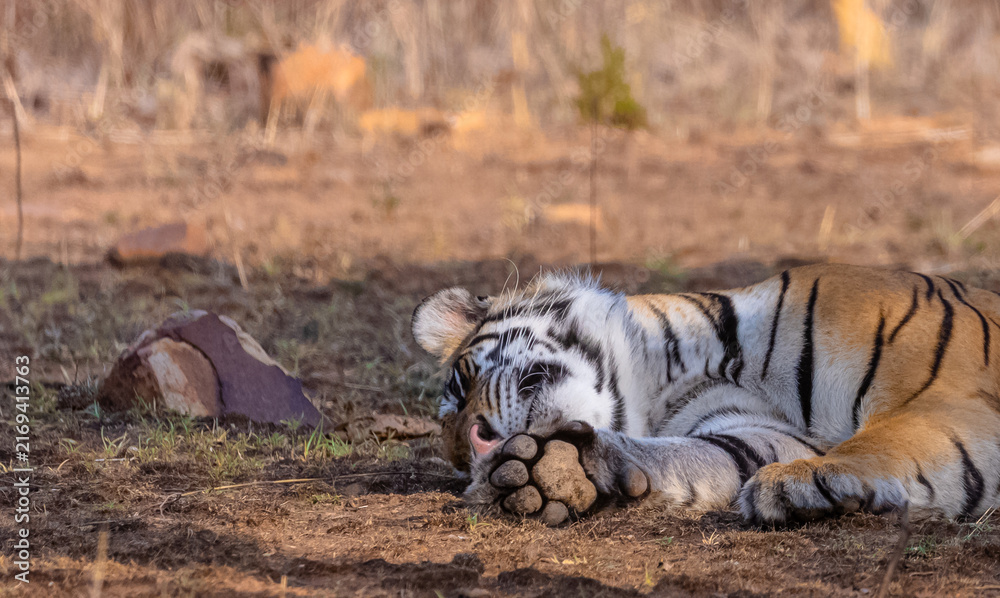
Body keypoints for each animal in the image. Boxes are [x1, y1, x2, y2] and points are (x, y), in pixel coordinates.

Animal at [411, 264, 1000, 525]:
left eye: (461, 386)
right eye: (459, 461)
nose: (478, 448)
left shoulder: (946, 395)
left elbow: (889, 437)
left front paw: (806, 480)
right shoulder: (751, 433)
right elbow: (691, 456)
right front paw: (554, 469)